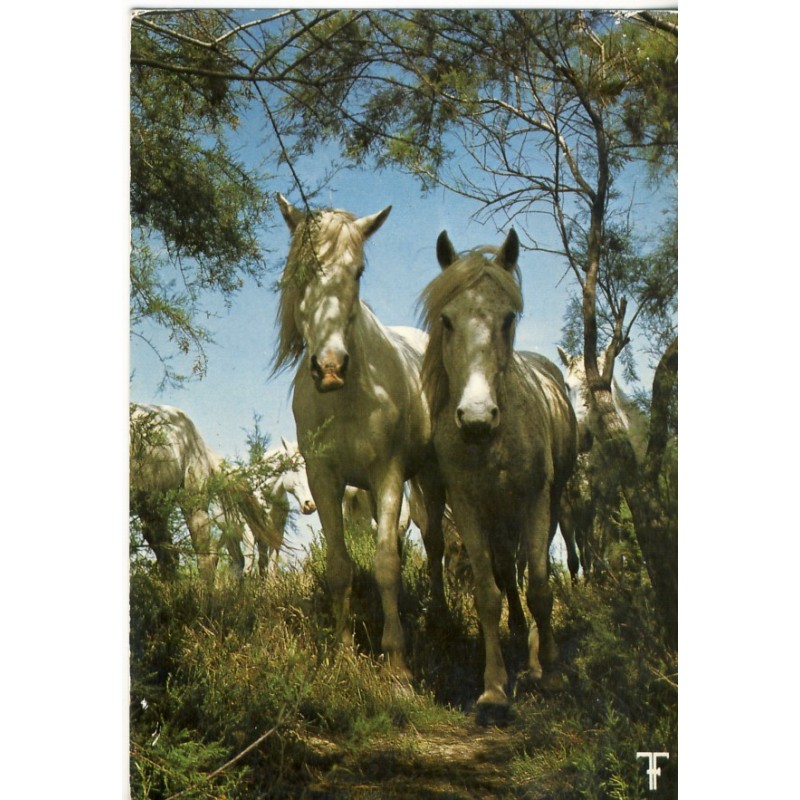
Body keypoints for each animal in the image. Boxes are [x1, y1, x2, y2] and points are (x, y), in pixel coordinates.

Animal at [273, 194, 447, 680]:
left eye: (358, 272)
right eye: (300, 272)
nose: (330, 367)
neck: (346, 399)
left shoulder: (388, 475)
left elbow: (386, 564)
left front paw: (397, 666)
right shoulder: (324, 479)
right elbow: (340, 567)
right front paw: (344, 653)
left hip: (428, 476)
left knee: (435, 545)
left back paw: (440, 621)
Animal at [419, 229, 577, 725]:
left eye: (508, 318)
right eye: (447, 320)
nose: (475, 418)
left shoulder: (536, 502)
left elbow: (542, 586)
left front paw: (550, 673)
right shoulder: (470, 508)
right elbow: (489, 595)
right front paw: (493, 689)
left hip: (548, 505)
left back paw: (537, 658)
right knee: (508, 574)